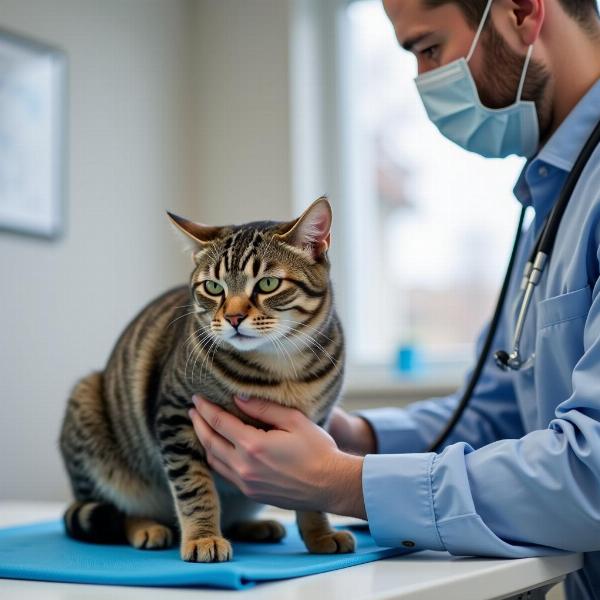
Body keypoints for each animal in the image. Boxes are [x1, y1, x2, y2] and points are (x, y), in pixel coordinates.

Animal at [58, 197, 354, 564]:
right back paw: (147, 527)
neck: (280, 367)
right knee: (115, 509)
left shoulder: (317, 425)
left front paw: (320, 534)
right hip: (88, 409)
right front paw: (203, 537)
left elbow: (310, 494)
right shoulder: (176, 415)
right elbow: (194, 488)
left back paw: (254, 526)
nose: (233, 317)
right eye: (214, 288)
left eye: (268, 284)